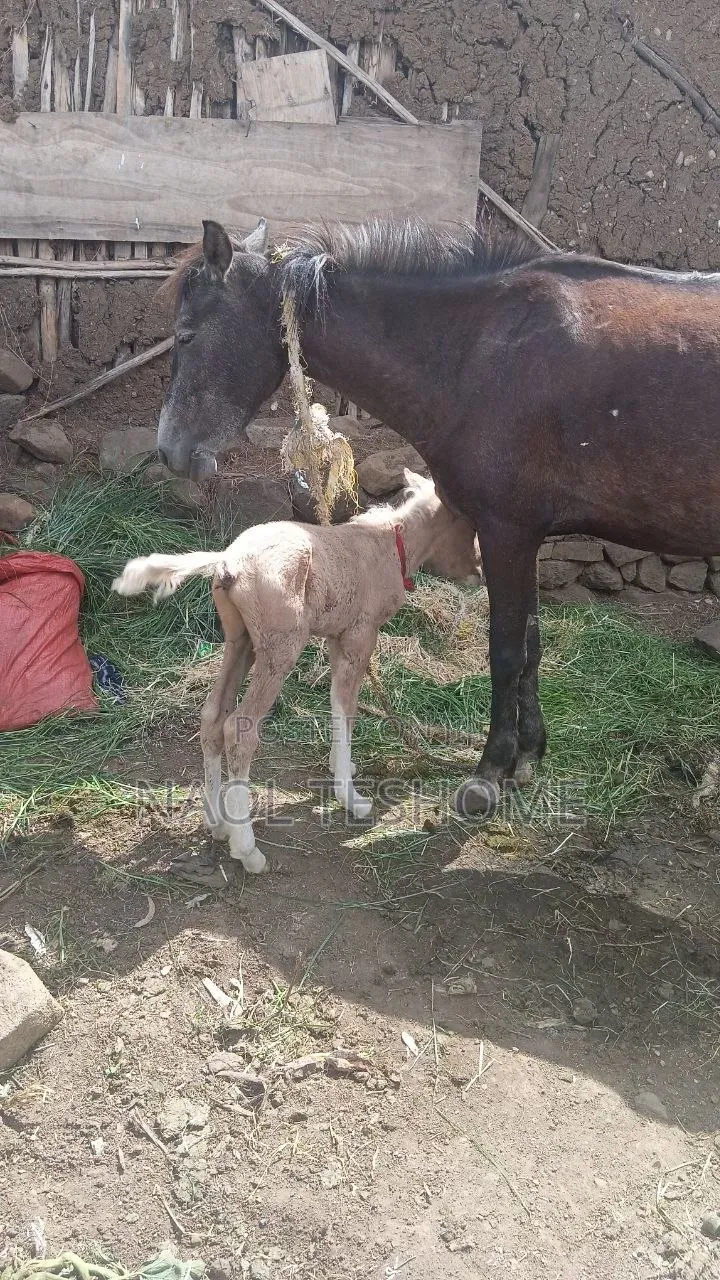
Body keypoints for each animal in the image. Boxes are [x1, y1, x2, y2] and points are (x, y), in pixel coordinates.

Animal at [156, 215, 720, 817]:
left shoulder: (506, 533)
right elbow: (532, 646)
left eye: (187, 335)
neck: (472, 353)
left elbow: (506, 652)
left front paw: (489, 773)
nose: (169, 451)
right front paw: (528, 756)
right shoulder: (525, 537)